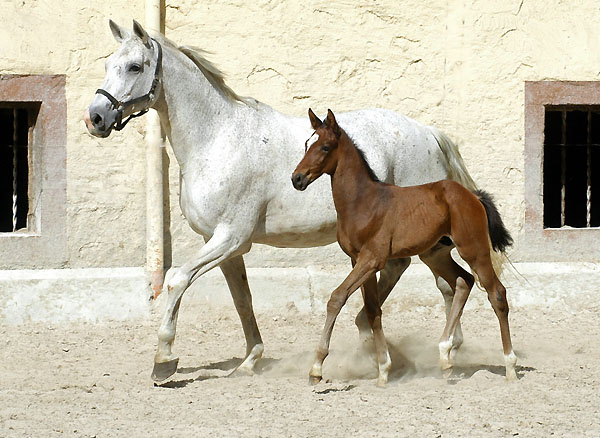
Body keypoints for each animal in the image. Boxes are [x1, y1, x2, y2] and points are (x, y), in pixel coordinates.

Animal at [84, 21, 478, 384]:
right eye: (107, 63)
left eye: (135, 66)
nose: (95, 118)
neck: (216, 139)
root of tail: (428, 133)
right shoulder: (225, 245)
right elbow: (242, 300)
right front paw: (250, 360)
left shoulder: (230, 237)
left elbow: (177, 280)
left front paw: (163, 361)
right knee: (436, 279)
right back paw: (436, 346)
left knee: (433, 277)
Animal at [292, 109, 516, 386]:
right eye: (306, 146)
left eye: (324, 147)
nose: (297, 178)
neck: (363, 202)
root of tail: (472, 195)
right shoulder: (359, 261)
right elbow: (372, 310)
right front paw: (383, 369)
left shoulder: (372, 259)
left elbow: (336, 298)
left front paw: (316, 368)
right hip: (434, 254)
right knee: (463, 281)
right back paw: (444, 356)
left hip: (474, 250)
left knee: (497, 293)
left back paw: (510, 366)